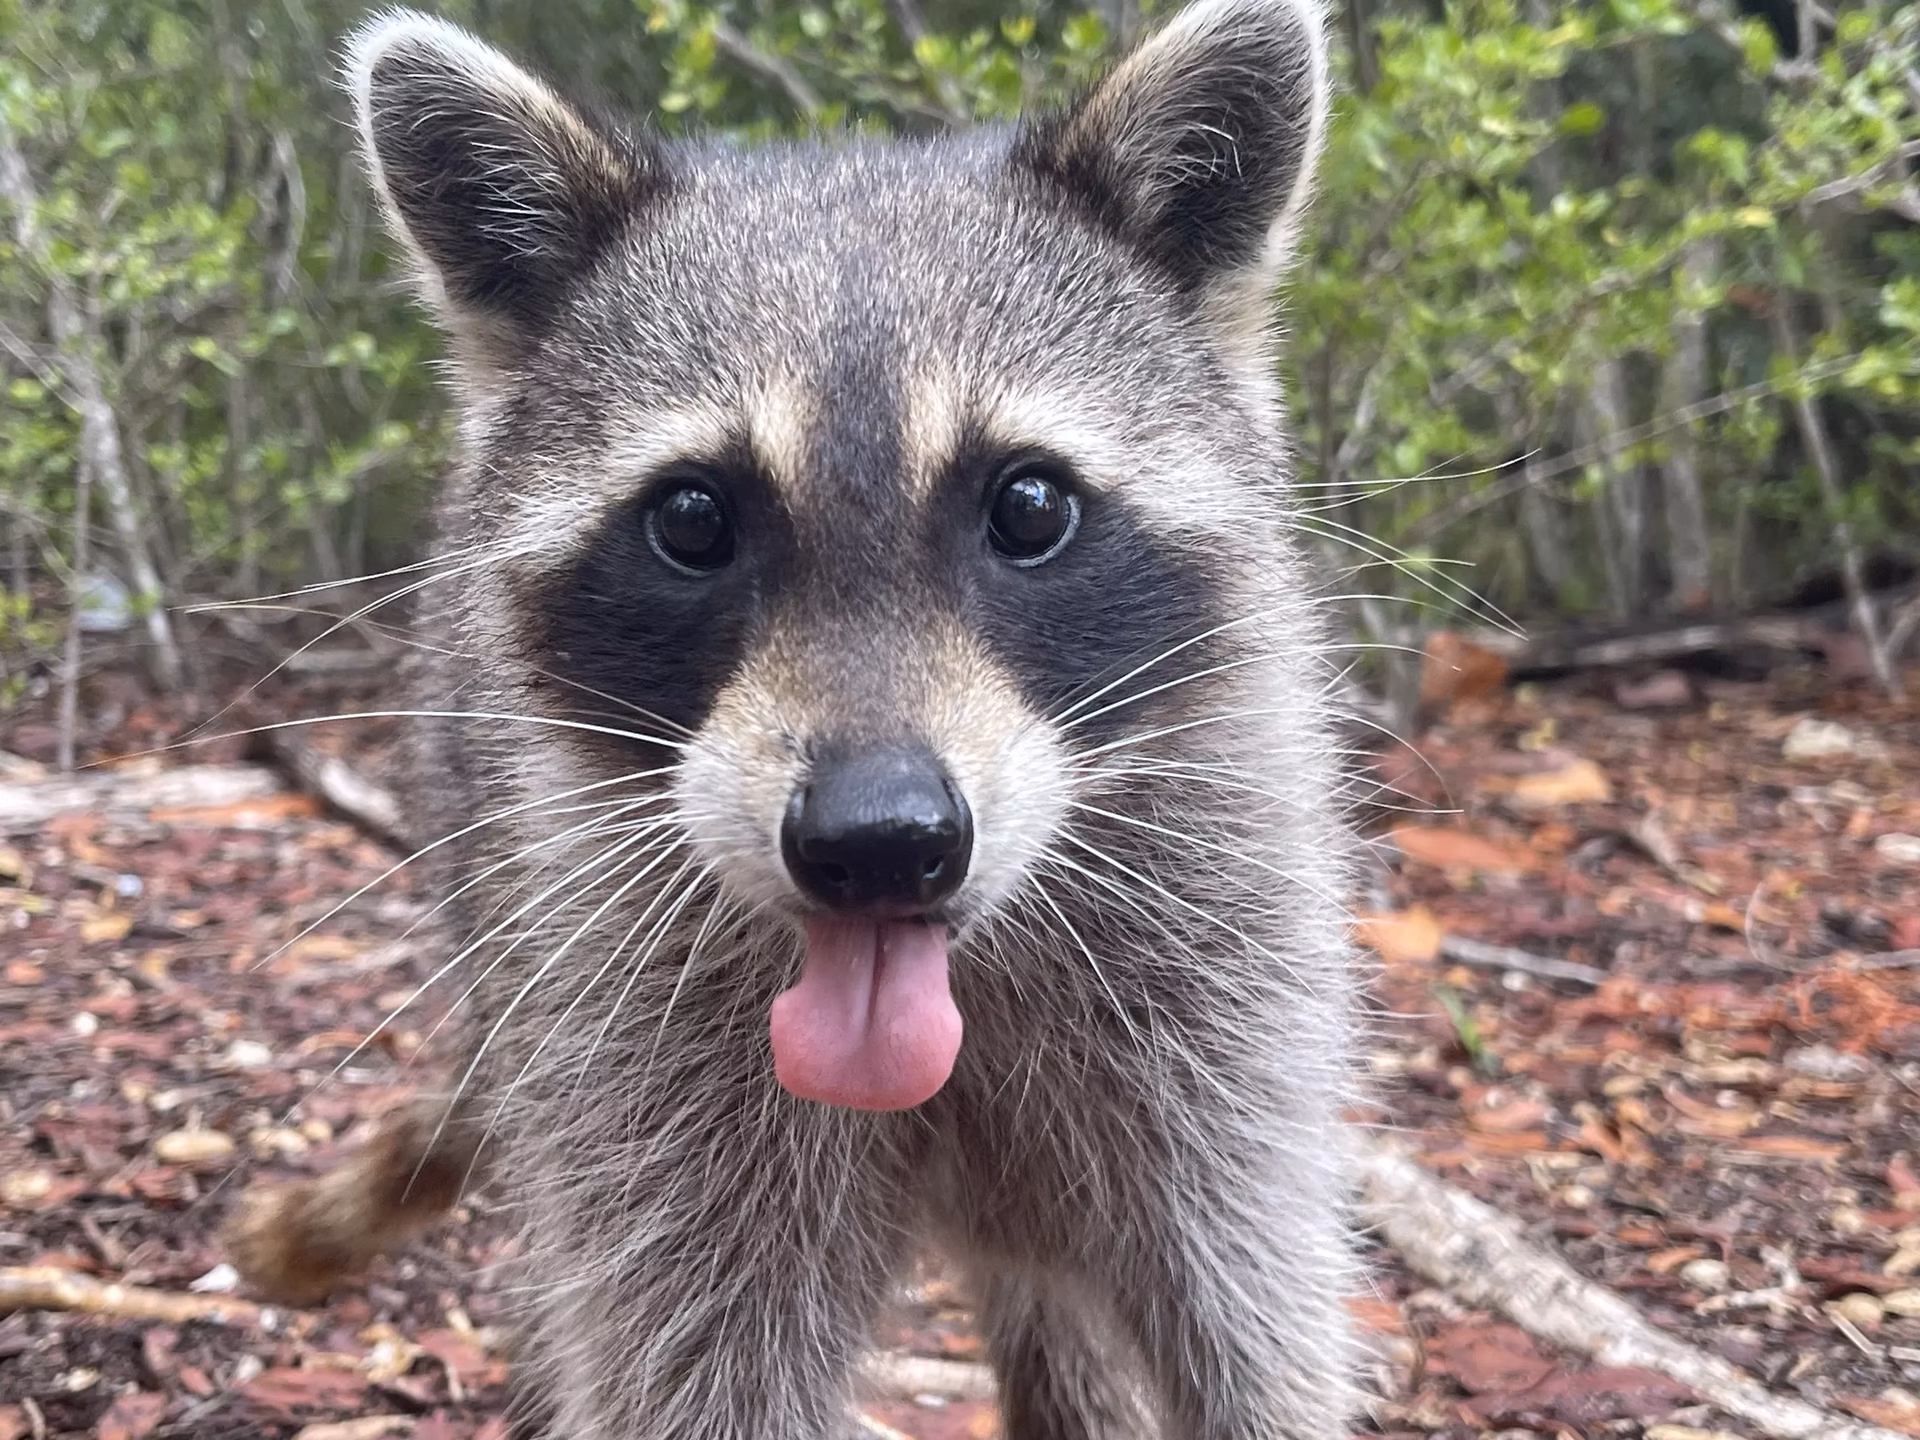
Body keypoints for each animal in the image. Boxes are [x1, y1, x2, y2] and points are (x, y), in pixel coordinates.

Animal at [227, 2, 1360, 1436]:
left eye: (1031, 507)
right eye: (691, 520)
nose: (878, 844)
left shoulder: (1226, 1019)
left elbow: (1257, 1327)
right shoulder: (634, 1056)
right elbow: (688, 1361)